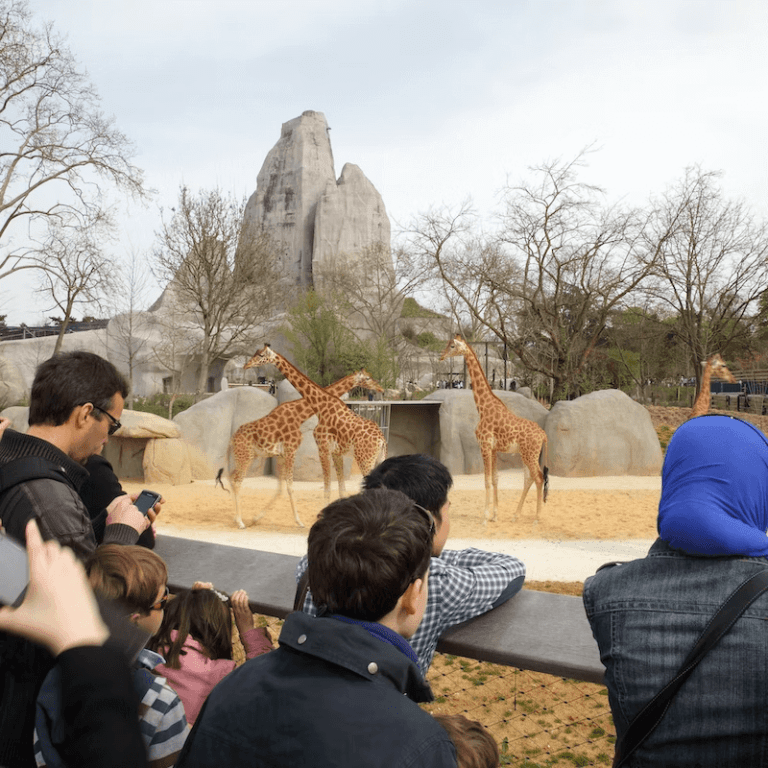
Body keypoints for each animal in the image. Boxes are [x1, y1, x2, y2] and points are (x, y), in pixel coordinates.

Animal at [216, 368, 384, 528]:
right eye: (367, 378)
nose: (380, 388)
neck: (300, 413)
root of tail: (232, 439)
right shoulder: (292, 451)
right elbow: (291, 486)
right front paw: (300, 522)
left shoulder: (282, 455)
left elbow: (282, 487)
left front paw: (257, 518)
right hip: (245, 456)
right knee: (237, 480)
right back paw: (240, 522)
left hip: (249, 456)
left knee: (232, 477)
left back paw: (237, 518)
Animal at [246, 346, 388, 508]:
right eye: (368, 378)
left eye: (261, 355)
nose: (247, 365)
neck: (320, 406)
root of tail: (382, 440)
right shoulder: (335, 453)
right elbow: (340, 489)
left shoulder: (323, 449)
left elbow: (328, 488)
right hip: (377, 459)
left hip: (366, 459)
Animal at [440, 334, 548, 520]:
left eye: (452, 346)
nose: (441, 356)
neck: (483, 408)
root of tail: (543, 435)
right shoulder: (494, 448)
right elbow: (495, 479)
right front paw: (495, 515)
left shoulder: (484, 445)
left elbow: (486, 481)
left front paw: (485, 516)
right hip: (526, 454)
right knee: (529, 479)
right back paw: (516, 515)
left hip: (530, 454)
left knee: (539, 478)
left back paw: (537, 517)